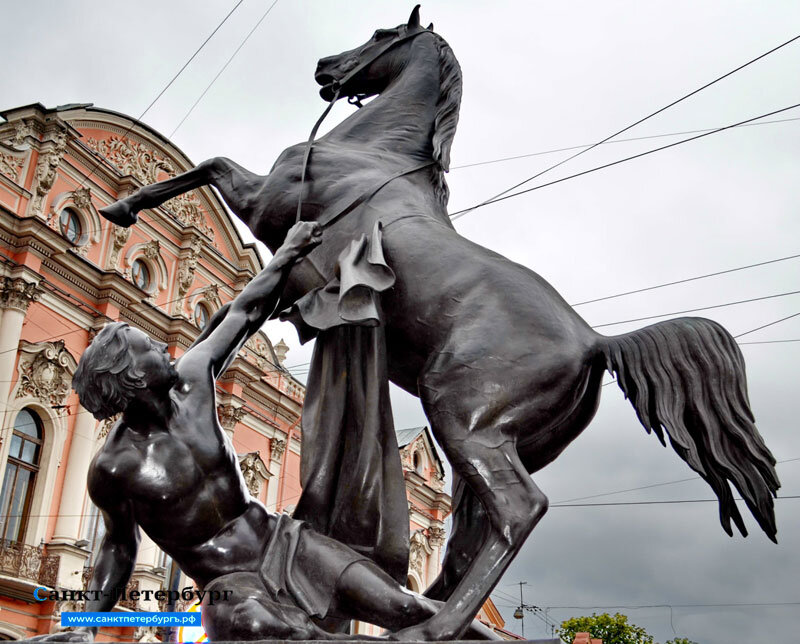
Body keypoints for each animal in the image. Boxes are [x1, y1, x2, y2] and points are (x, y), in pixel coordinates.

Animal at [101, 6, 780, 640]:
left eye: (381, 34)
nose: (325, 68)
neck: (372, 151)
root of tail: (595, 341)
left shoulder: (267, 202)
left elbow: (212, 165)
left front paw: (125, 206)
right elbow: (228, 294)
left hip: (463, 421)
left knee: (520, 510)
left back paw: (429, 627)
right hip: (496, 445)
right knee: (467, 540)